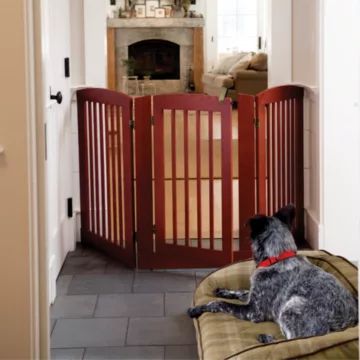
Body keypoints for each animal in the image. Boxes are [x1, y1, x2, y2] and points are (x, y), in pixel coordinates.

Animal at [187, 202, 358, 344]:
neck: (277, 257)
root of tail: (347, 322)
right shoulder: (253, 297)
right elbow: (242, 291)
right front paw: (223, 291)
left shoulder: (253, 311)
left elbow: (219, 303)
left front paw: (198, 309)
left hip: (290, 308)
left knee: (297, 340)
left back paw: (266, 338)